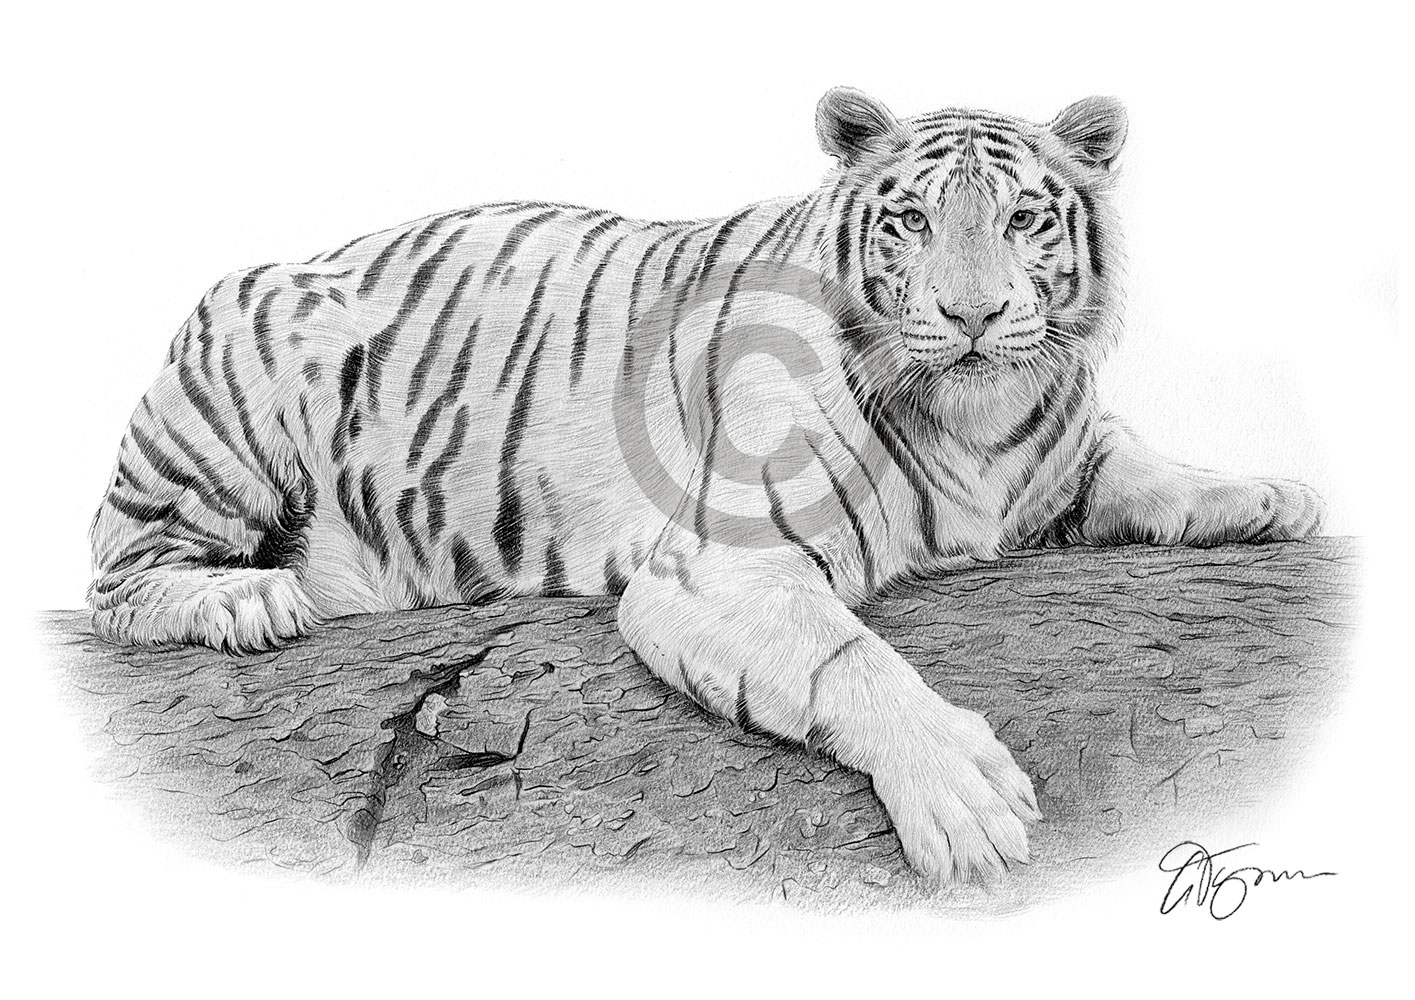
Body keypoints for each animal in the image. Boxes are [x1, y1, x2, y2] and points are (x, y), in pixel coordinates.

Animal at [88, 87, 1325, 883]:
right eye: (910, 220)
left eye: (1023, 217)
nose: (972, 315)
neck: (977, 423)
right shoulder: (723, 563)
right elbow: (852, 663)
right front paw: (965, 799)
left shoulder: (1055, 453)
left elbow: (1133, 460)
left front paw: (1266, 493)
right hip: (233, 397)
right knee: (116, 575)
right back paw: (249, 599)